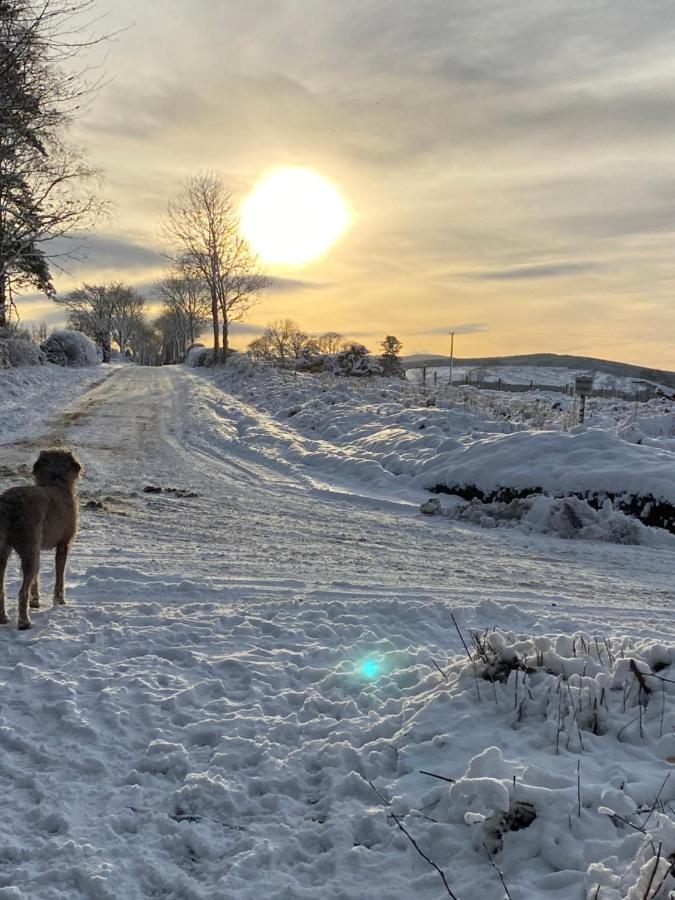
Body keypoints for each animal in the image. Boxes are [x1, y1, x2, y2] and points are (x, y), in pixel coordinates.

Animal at [0, 450, 82, 632]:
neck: (56, 480)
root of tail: (9, 504)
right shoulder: (63, 544)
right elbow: (60, 576)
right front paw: (60, 602)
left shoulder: (37, 547)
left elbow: (36, 579)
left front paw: (35, 601)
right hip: (29, 545)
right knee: (21, 592)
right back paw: (24, 622)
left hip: (7, 550)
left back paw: (2, 618)